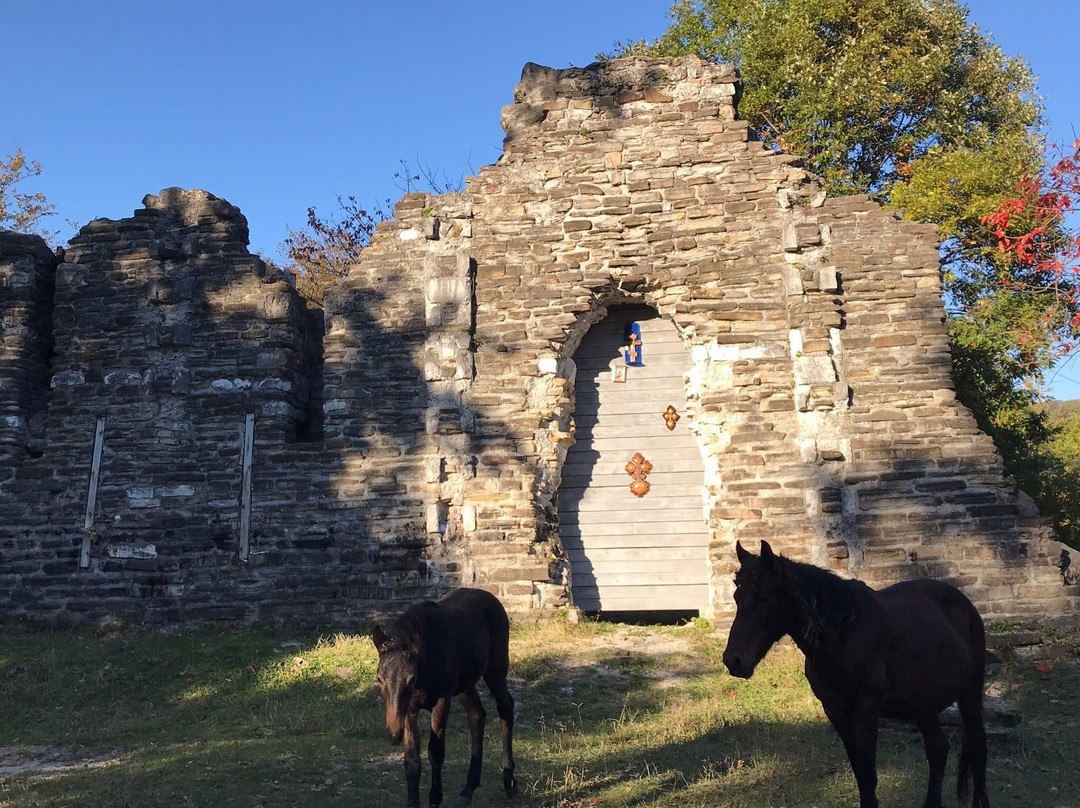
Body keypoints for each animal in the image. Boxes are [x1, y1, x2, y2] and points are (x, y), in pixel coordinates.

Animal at [373, 587, 516, 808]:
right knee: (477, 715)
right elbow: (412, 759)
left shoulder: (442, 700)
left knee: (506, 708)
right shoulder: (409, 708)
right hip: (465, 684)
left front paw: (434, 799)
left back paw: (508, 778)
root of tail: (493, 600)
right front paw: (413, 802)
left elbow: (436, 751)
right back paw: (468, 788)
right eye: (379, 678)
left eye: (411, 677)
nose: (394, 733)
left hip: (496, 668)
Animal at [721, 540, 989, 808]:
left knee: (977, 743)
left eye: (764, 598)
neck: (843, 635)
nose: (733, 660)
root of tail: (965, 603)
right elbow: (860, 772)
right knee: (938, 749)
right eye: (736, 597)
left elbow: (869, 774)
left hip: (970, 692)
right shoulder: (835, 711)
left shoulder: (866, 710)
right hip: (923, 704)